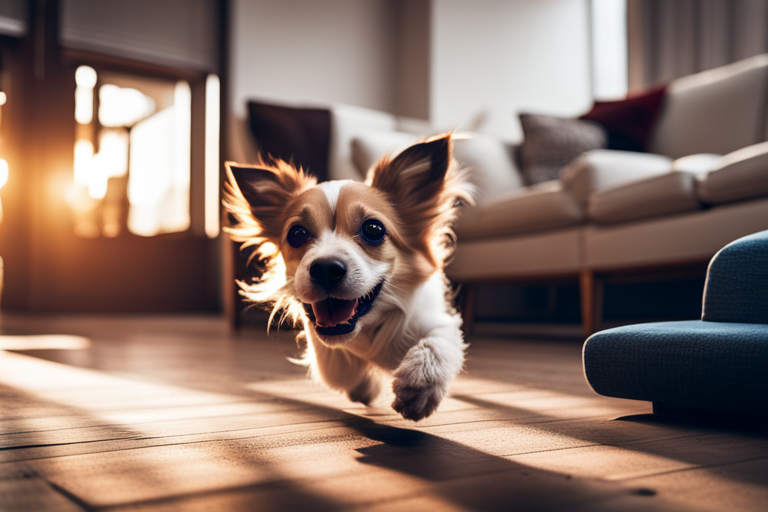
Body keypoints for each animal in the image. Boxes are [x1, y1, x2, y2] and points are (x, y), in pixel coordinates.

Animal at [224, 133, 474, 420]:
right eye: (296, 234)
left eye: (374, 229)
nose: (324, 268)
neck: (369, 328)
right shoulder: (328, 352)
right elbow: (342, 370)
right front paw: (366, 387)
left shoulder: (435, 319)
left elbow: (439, 343)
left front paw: (419, 383)